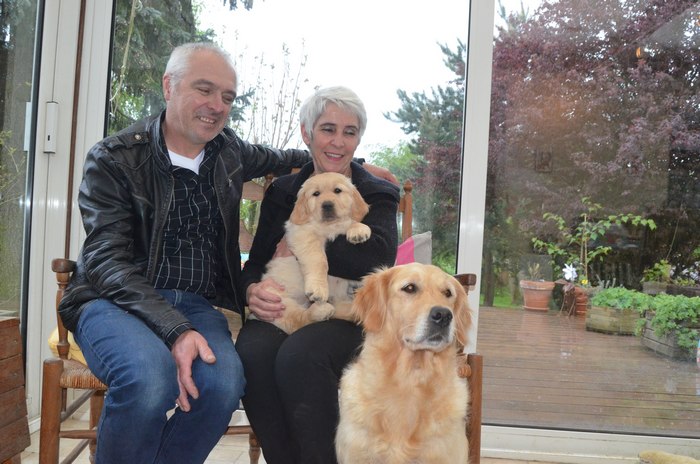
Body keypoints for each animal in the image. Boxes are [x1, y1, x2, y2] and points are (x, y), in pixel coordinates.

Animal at [256, 172, 371, 334]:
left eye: (337, 190)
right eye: (316, 194)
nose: (327, 205)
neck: (328, 226)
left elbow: (349, 221)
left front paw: (359, 229)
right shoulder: (304, 234)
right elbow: (319, 260)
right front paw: (318, 288)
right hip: (276, 299)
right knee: (297, 320)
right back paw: (320, 311)